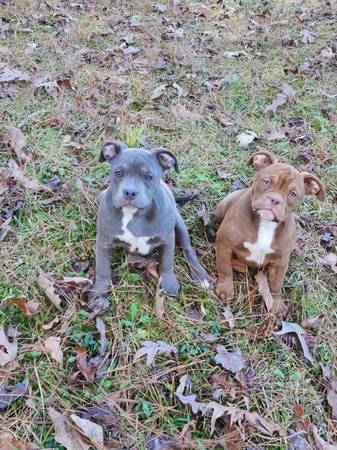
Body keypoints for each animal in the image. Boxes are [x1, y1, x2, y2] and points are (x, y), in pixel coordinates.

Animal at [90, 142, 210, 300]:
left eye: (148, 177)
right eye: (118, 173)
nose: (130, 192)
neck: (134, 215)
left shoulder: (167, 239)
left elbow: (167, 262)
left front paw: (169, 283)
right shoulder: (104, 241)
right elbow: (102, 267)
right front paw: (99, 291)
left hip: (179, 223)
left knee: (188, 248)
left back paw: (200, 275)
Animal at [214, 149, 324, 314]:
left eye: (292, 194)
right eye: (266, 182)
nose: (275, 200)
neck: (265, 223)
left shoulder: (280, 262)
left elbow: (276, 285)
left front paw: (277, 304)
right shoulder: (224, 243)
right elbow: (224, 267)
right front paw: (224, 289)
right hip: (221, 207)